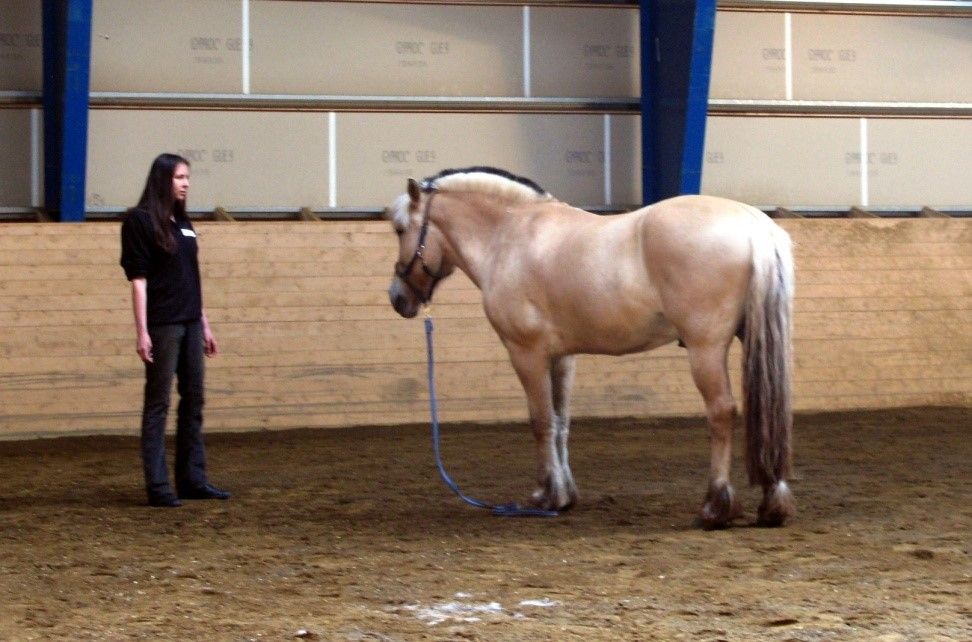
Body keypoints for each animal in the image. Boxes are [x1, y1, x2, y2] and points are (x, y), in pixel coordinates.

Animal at [386, 166, 795, 529]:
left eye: (401, 229)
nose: (397, 298)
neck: (509, 236)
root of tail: (753, 225)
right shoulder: (561, 357)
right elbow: (561, 422)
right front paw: (564, 495)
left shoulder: (526, 354)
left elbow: (540, 421)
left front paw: (545, 496)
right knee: (771, 409)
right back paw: (772, 505)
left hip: (705, 349)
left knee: (721, 413)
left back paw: (715, 507)